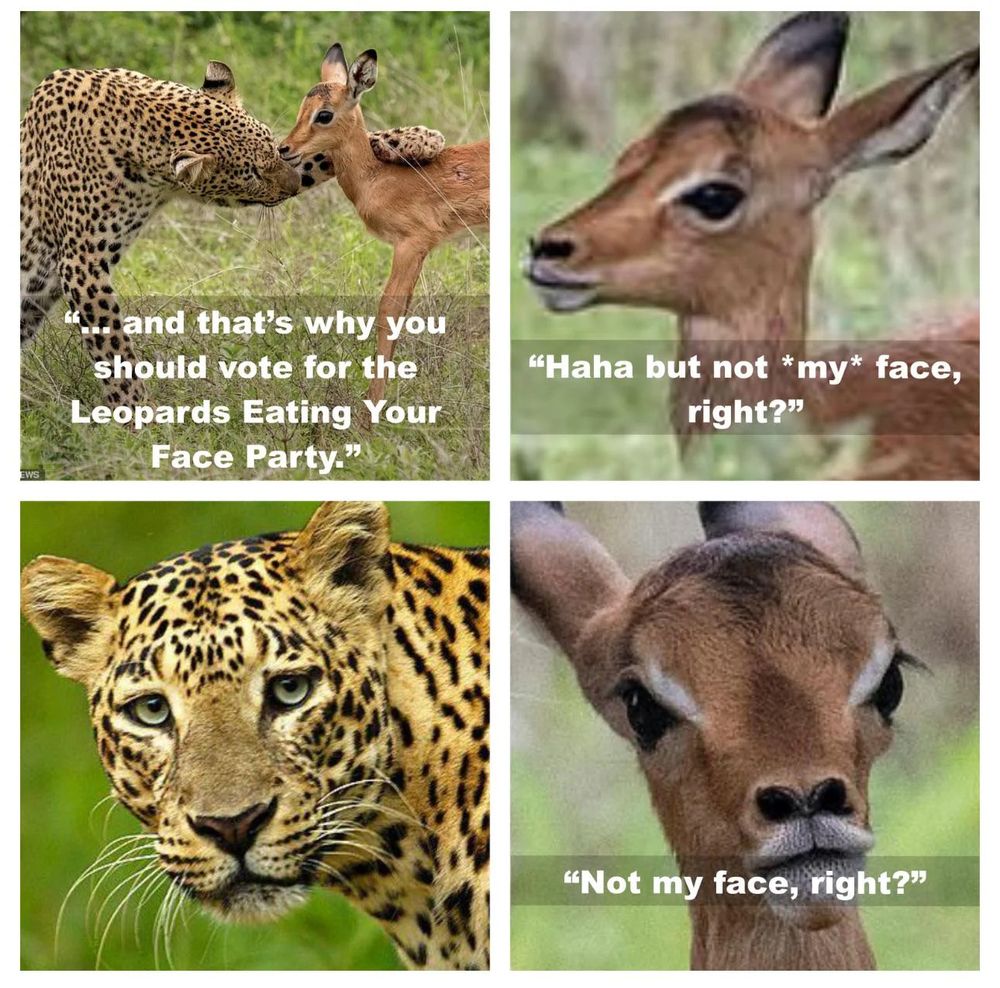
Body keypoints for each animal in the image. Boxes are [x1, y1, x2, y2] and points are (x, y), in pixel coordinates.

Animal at [20, 61, 446, 408]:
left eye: (273, 147)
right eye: (250, 174)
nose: (293, 186)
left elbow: (325, 152)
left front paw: (419, 138)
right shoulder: (82, 264)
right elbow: (114, 350)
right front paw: (140, 420)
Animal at [279, 44, 489, 406]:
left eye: (324, 114)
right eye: (301, 109)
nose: (284, 148)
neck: (376, 178)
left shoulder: (411, 244)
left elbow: (388, 314)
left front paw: (369, 412)